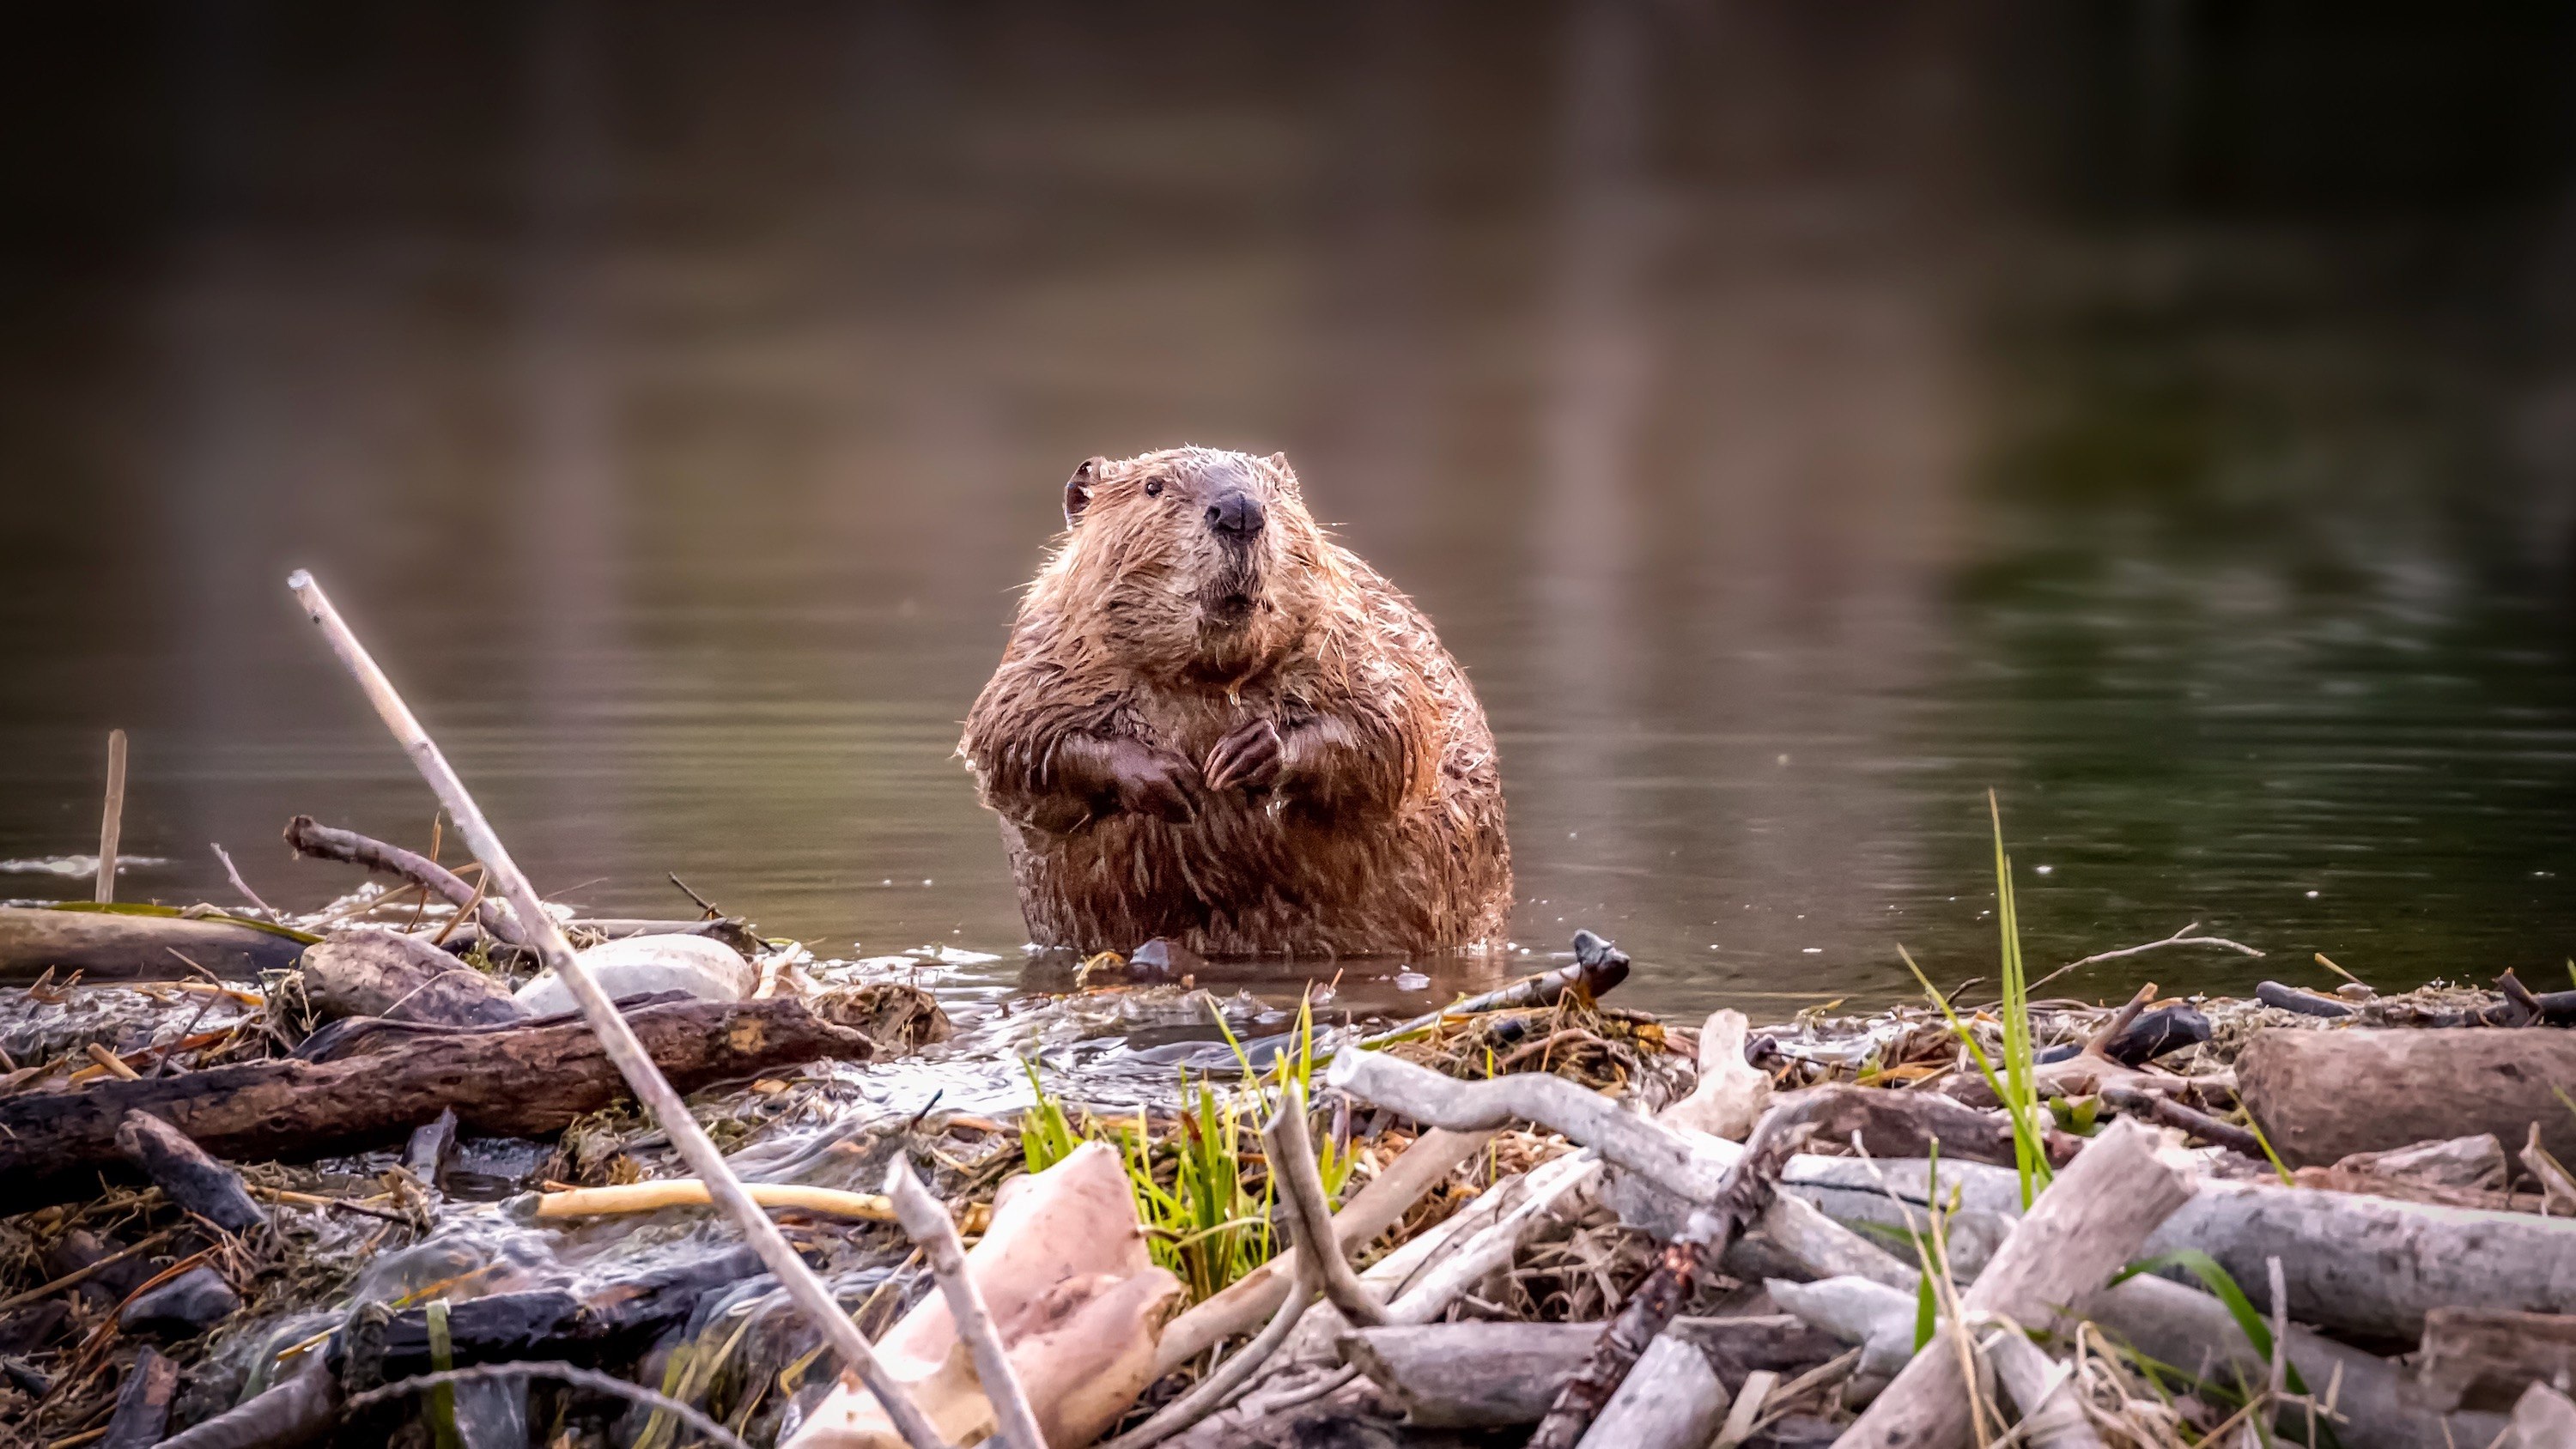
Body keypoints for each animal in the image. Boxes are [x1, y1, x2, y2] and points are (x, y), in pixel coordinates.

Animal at [963, 447, 1504, 957]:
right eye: (1153, 486)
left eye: (1275, 490)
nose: (1240, 510)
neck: (1207, 678)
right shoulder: (1044, 651)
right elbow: (1013, 745)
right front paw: (1168, 776)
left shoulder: (1354, 635)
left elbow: (1394, 730)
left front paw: (1245, 754)